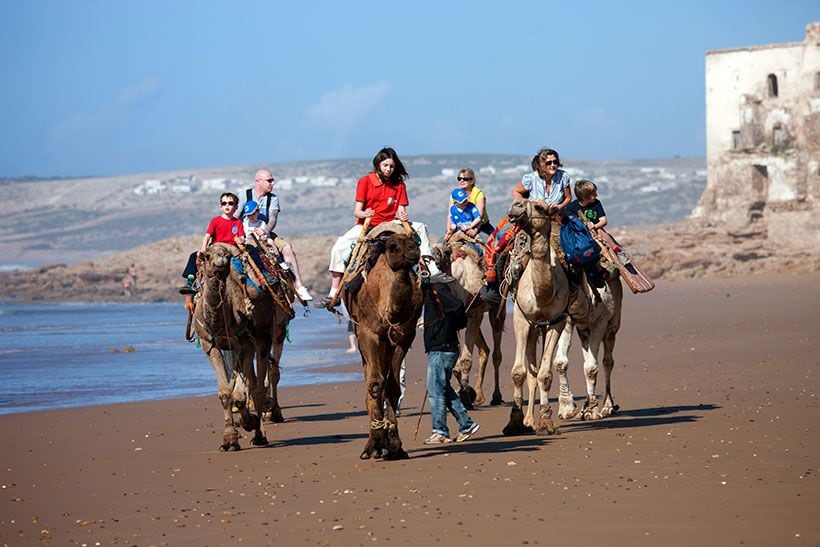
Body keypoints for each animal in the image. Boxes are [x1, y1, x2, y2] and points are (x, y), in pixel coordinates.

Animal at [344, 229, 426, 460]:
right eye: (392, 246)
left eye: (414, 241)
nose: (413, 251)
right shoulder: (368, 332)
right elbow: (375, 385)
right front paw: (376, 443)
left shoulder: (405, 336)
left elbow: (393, 387)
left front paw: (395, 446)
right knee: (372, 382)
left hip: (386, 345)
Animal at [430, 233, 506, 408]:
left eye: (445, 252)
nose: (435, 258)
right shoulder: (458, 319)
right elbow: (453, 364)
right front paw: (465, 391)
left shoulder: (475, 315)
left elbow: (465, 360)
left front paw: (465, 393)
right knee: (485, 350)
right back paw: (479, 396)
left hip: (496, 309)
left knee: (496, 353)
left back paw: (496, 396)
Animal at [500, 200, 572, 436]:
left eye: (540, 207)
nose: (516, 205)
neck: (543, 293)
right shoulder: (521, 319)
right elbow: (518, 373)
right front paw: (514, 422)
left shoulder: (556, 321)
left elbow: (544, 374)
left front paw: (547, 421)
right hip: (531, 328)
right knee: (529, 371)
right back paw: (528, 420)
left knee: (536, 372)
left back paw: (534, 420)